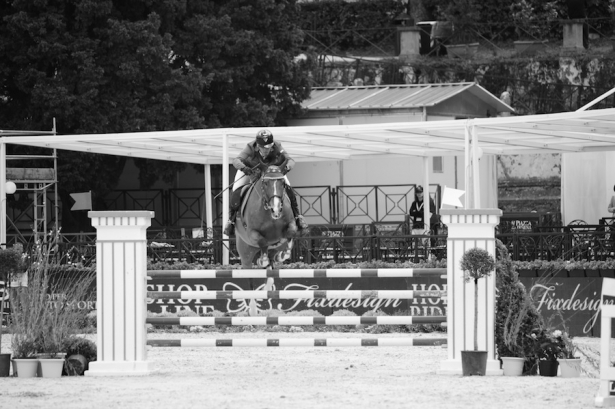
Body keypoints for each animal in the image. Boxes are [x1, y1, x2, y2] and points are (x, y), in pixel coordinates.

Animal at [233, 164, 298, 314]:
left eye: (282, 183)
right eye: (265, 183)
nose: (276, 210)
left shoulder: (290, 224)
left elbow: (290, 234)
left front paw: (284, 254)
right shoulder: (252, 232)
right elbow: (262, 241)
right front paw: (262, 260)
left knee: (271, 268)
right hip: (245, 254)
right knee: (251, 277)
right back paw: (252, 309)